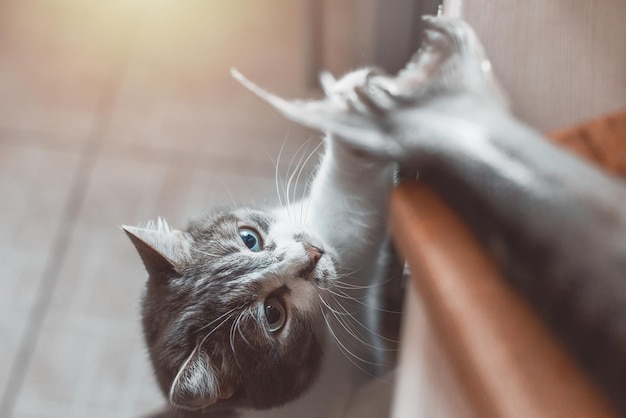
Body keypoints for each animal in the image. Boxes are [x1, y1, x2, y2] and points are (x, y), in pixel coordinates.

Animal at [123, 67, 400, 416]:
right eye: (273, 314)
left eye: (249, 238)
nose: (312, 253)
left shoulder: (336, 233)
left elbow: (351, 206)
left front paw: (358, 103)